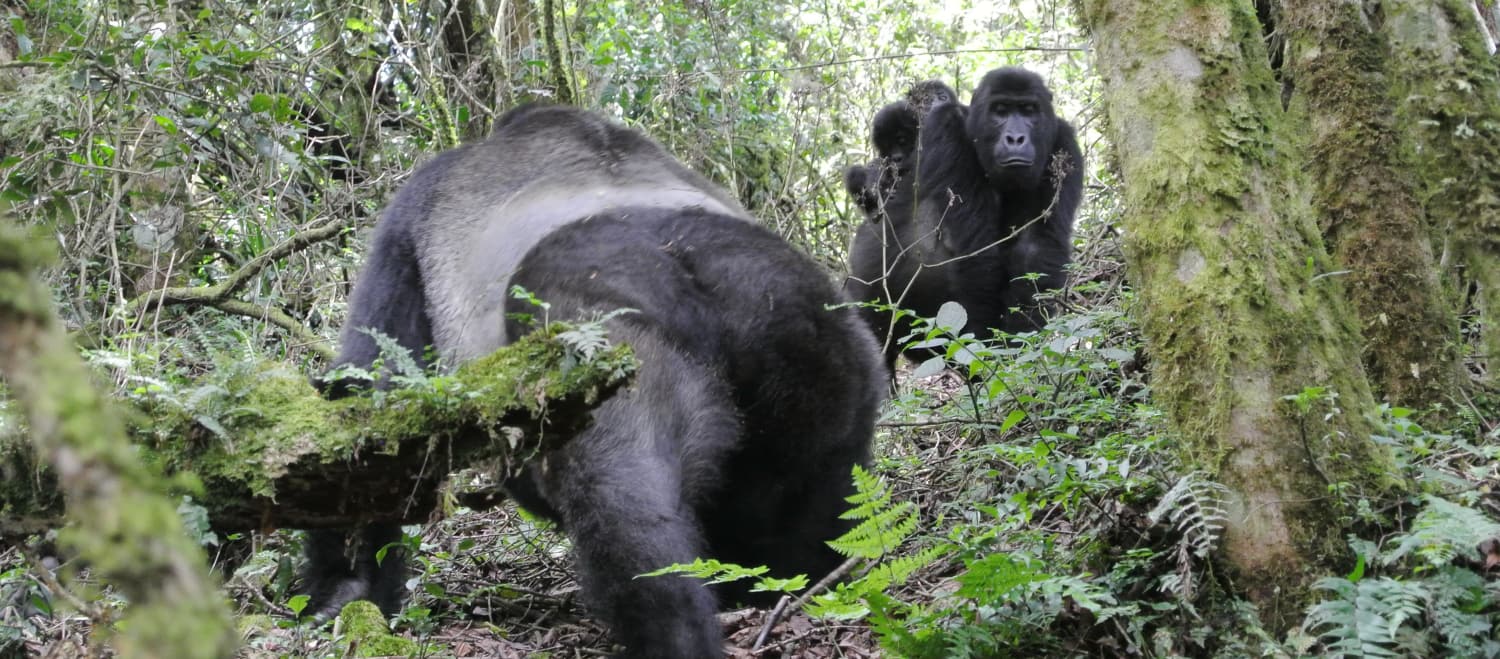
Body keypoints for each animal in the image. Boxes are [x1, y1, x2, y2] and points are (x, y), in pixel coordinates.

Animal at [307, 105, 888, 657]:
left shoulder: (408, 214)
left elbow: (365, 401)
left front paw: (343, 589)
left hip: (600, 343)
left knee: (626, 510)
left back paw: (671, 633)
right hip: (820, 337)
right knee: (814, 503)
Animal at [846, 67, 1080, 372]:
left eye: (1029, 111)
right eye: (1000, 111)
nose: (1016, 138)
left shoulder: (1064, 141)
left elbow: (1034, 250)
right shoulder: (946, 125)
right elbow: (972, 252)